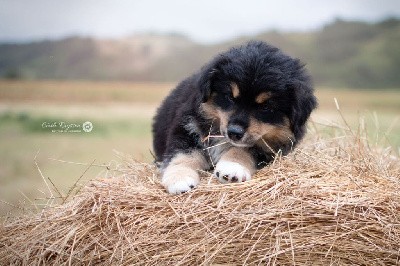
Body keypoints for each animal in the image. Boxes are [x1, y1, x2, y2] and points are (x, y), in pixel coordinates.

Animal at [152, 42, 318, 195]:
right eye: (230, 97)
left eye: (266, 107)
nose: (234, 132)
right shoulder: (187, 127)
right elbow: (183, 155)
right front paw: (179, 179)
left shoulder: (269, 147)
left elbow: (243, 151)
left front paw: (232, 168)